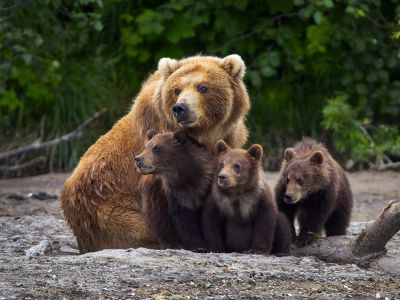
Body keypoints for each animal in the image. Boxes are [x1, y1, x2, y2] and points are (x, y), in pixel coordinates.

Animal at [60, 54, 250, 253]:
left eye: (202, 87)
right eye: (177, 89)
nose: (180, 108)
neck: (204, 135)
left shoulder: (228, 139)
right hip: (108, 210)